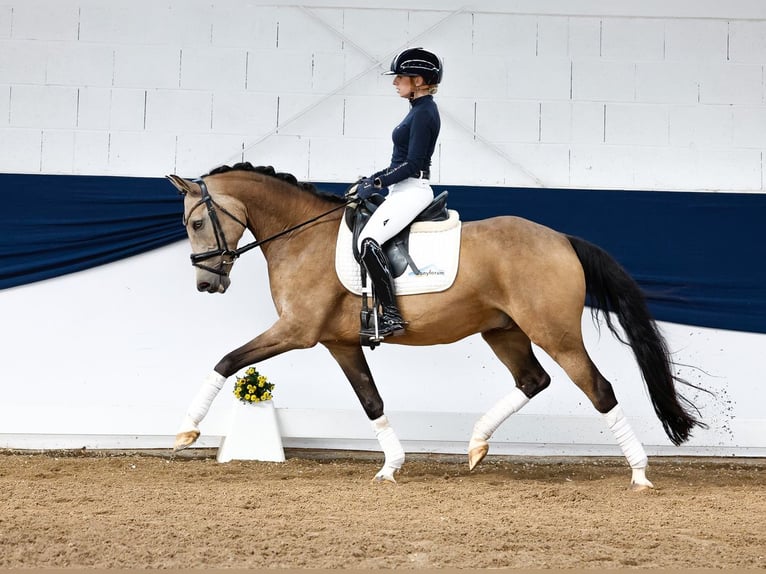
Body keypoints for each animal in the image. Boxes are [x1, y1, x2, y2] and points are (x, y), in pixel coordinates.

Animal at [168, 161, 708, 490]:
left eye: (195, 224)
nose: (206, 284)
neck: (302, 238)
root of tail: (562, 239)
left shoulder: (296, 332)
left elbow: (226, 360)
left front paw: (186, 432)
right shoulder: (339, 343)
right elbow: (371, 401)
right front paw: (391, 467)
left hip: (555, 333)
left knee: (599, 389)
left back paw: (639, 474)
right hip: (503, 331)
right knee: (533, 380)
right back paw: (475, 445)